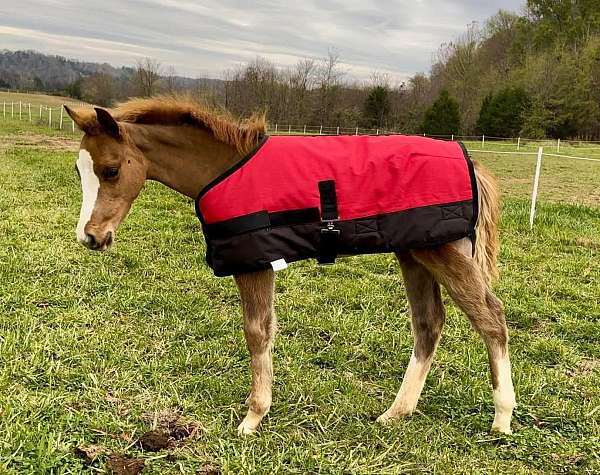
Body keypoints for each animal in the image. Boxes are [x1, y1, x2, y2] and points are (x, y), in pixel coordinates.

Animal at [64, 98, 516, 436]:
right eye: (79, 170)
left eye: (111, 170)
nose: (90, 237)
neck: (224, 170)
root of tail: (472, 163)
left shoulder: (254, 262)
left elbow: (257, 331)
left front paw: (253, 417)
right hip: (415, 253)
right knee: (429, 323)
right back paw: (395, 413)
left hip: (444, 251)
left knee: (491, 318)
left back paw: (502, 418)